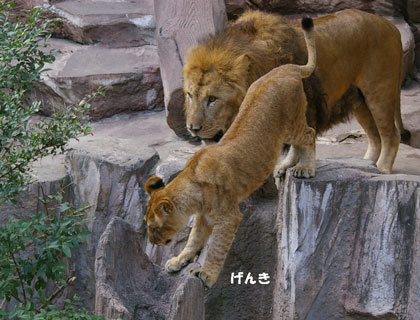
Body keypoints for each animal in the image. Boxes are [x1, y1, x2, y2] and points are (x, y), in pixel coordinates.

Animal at [144, 17, 316, 288]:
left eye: (153, 226)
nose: (152, 242)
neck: (193, 190)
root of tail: (286, 68)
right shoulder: (203, 218)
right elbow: (193, 239)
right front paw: (179, 260)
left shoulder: (228, 217)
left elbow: (216, 247)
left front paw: (206, 274)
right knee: (296, 144)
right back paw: (284, 166)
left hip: (291, 123)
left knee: (309, 134)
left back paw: (306, 168)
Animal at [182, 9, 408, 172]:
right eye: (190, 95)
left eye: (212, 99)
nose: (193, 128)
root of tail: (391, 26)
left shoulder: (298, 107)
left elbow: (297, 142)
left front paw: (296, 166)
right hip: (359, 101)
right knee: (375, 137)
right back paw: (366, 166)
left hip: (379, 92)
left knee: (391, 135)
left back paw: (382, 169)